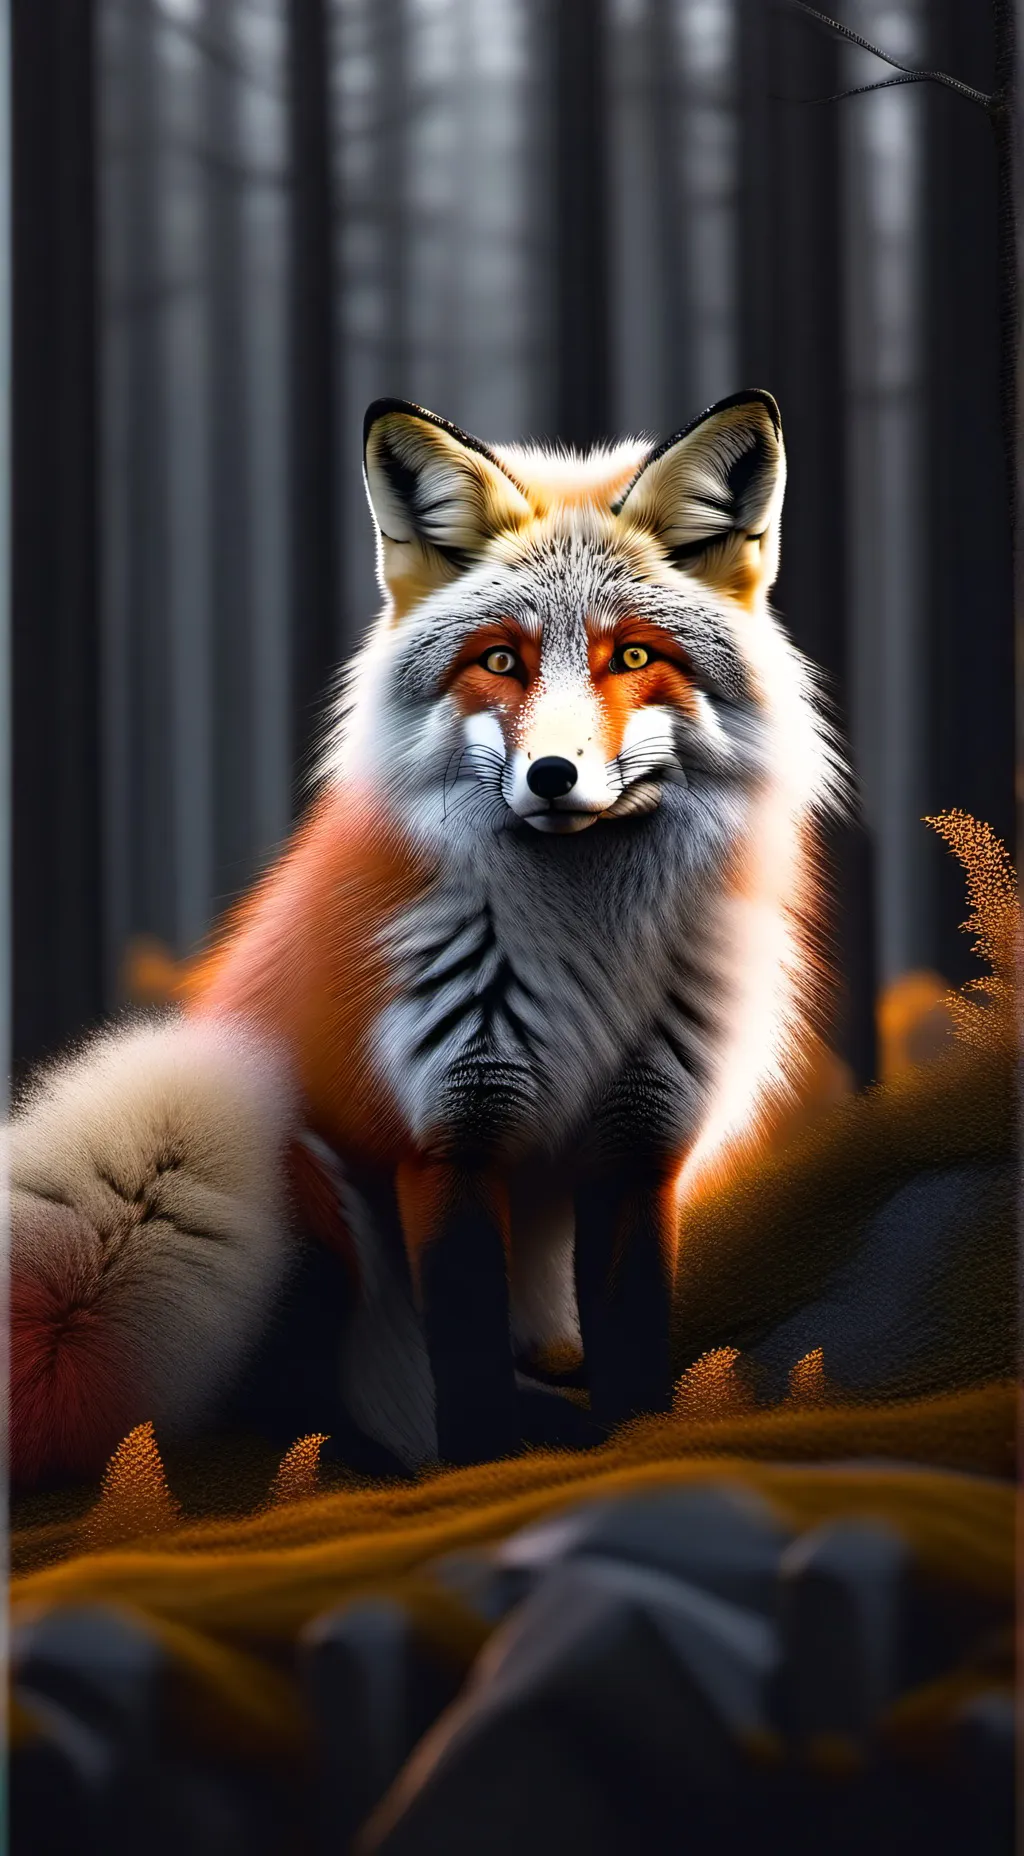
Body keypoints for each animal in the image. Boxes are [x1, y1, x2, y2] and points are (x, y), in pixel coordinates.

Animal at [9, 389, 841, 1484]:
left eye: (631, 655)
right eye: (499, 659)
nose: (552, 777)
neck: (587, 947)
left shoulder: (639, 1142)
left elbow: (631, 1344)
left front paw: (640, 1445)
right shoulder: (448, 1135)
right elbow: (465, 1359)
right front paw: (487, 1472)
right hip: (214, 1136)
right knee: (310, 1393)